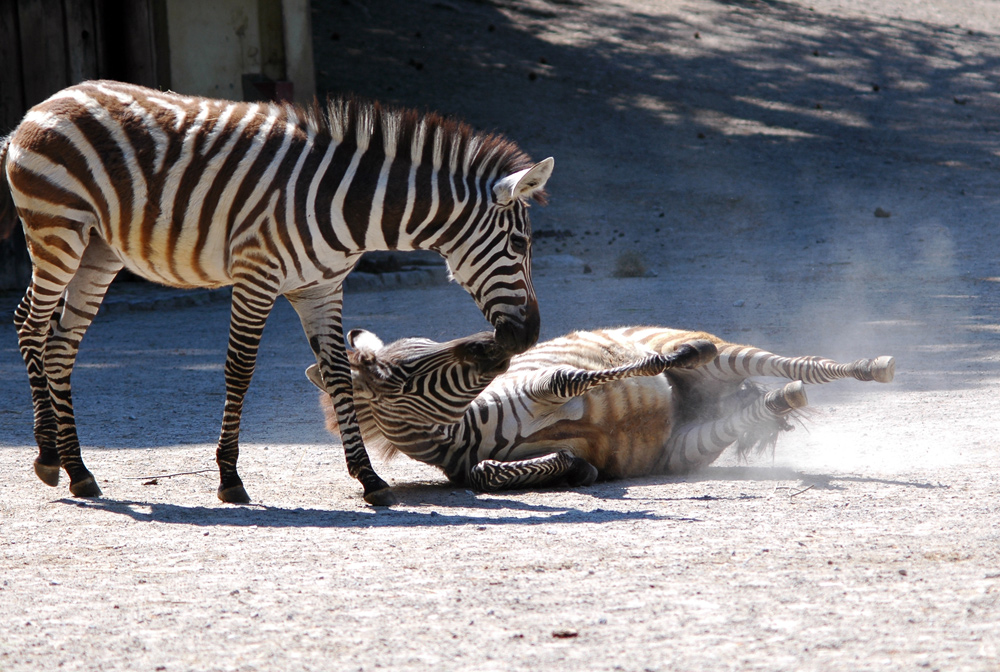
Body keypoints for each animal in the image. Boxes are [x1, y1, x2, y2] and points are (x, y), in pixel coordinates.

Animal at [0, 80, 552, 504]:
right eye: (520, 244)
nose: (528, 336)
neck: (350, 207)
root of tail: (43, 105)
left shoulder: (322, 288)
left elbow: (337, 373)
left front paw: (369, 478)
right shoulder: (256, 275)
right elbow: (240, 372)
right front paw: (229, 479)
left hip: (100, 250)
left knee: (60, 343)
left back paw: (77, 470)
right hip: (57, 231)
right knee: (30, 323)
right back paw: (47, 457)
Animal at [306, 326, 900, 490]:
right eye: (403, 374)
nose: (500, 342)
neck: (465, 426)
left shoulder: (543, 385)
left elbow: (573, 377)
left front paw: (674, 358)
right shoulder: (479, 461)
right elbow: (489, 471)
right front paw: (577, 469)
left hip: (723, 354)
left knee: (804, 365)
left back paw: (872, 366)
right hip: (685, 445)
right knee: (769, 402)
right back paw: (782, 398)